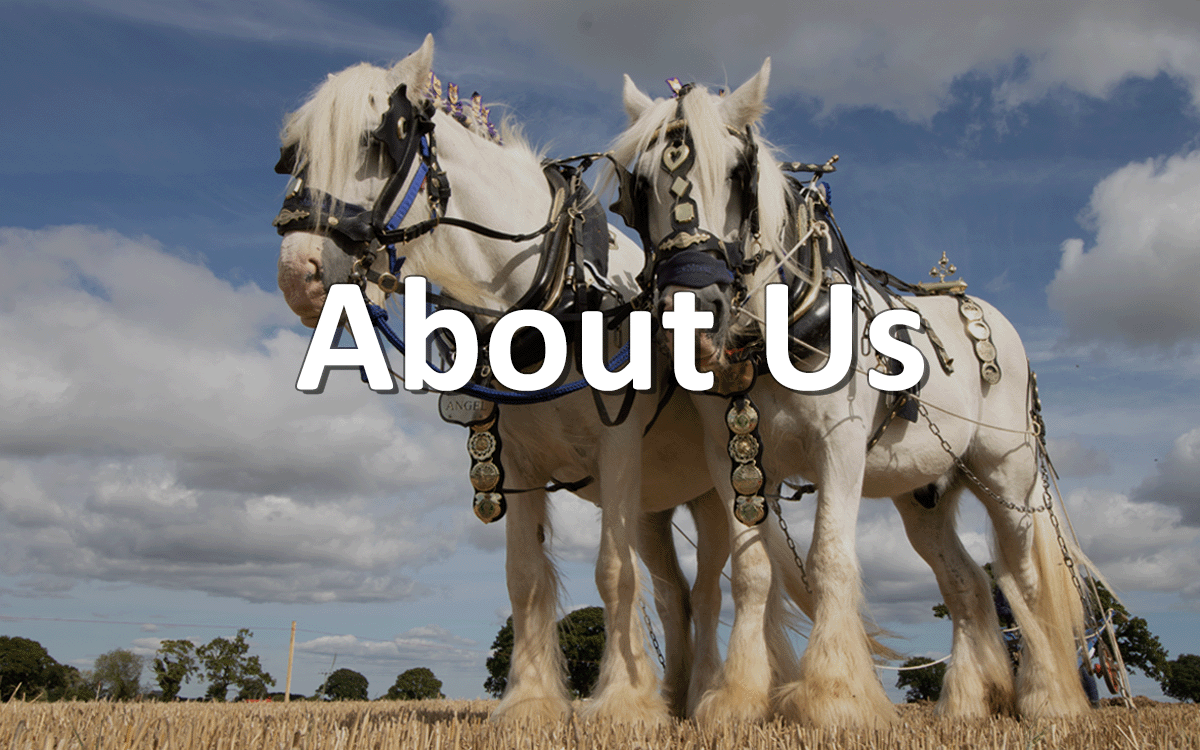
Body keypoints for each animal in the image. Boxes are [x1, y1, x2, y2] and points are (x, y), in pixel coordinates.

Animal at [273, 36, 825, 724]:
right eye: (292, 154)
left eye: (381, 141)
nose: (298, 275)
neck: (547, 289)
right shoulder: (516, 460)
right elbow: (525, 575)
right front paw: (532, 701)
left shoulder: (619, 448)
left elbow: (613, 572)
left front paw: (620, 704)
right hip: (658, 503)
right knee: (674, 592)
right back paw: (675, 694)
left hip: (719, 487)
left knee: (718, 584)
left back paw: (709, 692)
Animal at [611, 61, 1099, 727]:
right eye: (639, 184)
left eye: (738, 173)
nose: (693, 308)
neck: (777, 330)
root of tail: (975, 303)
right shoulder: (732, 458)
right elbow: (753, 571)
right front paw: (738, 698)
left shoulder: (838, 448)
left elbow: (829, 560)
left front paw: (835, 697)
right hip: (923, 496)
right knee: (967, 584)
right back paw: (966, 704)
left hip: (1008, 475)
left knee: (1021, 579)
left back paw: (1050, 699)